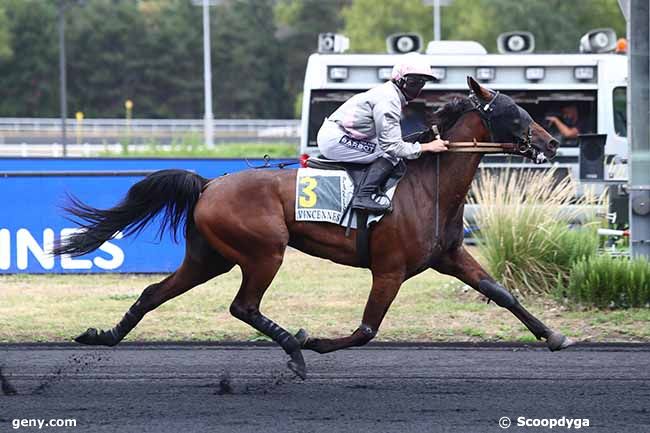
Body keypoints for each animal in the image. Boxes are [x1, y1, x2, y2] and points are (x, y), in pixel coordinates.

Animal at [57, 77, 572, 378]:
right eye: (515, 112)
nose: (549, 143)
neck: (429, 183)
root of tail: (208, 184)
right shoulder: (389, 270)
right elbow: (366, 329)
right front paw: (317, 341)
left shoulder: (450, 256)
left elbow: (503, 293)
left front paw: (554, 336)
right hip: (264, 252)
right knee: (243, 306)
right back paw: (296, 349)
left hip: (210, 258)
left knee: (152, 293)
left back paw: (102, 336)